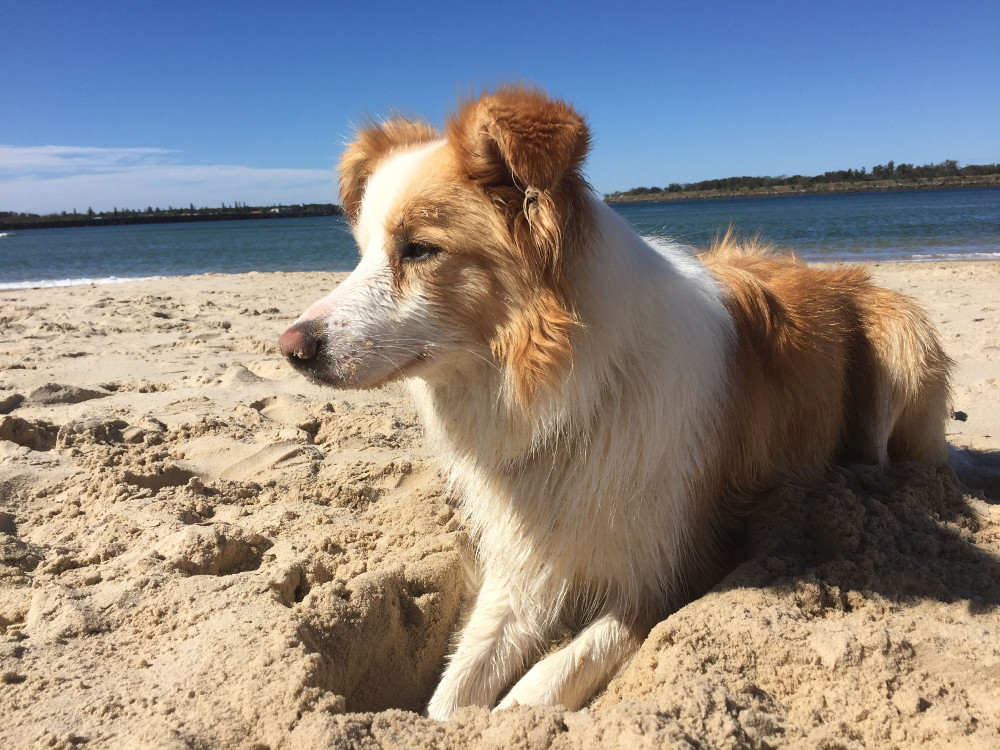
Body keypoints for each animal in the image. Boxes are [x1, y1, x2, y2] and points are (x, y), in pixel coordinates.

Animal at [280, 85, 952, 720]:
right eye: (363, 251)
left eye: (418, 249)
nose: (292, 347)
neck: (568, 390)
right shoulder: (526, 559)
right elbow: (450, 697)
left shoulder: (671, 568)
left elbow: (538, 688)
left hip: (902, 341)